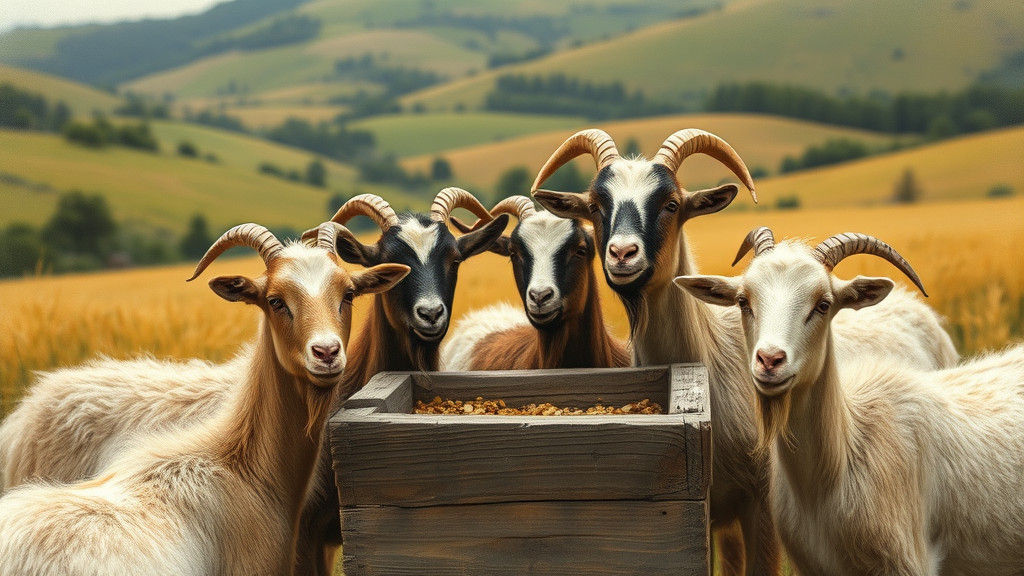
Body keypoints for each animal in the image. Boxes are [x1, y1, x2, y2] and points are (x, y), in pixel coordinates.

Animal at [530, 129, 959, 576]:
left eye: (671, 204)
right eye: (596, 206)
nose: (622, 254)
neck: (712, 358)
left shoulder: (761, 507)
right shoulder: (704, 514)